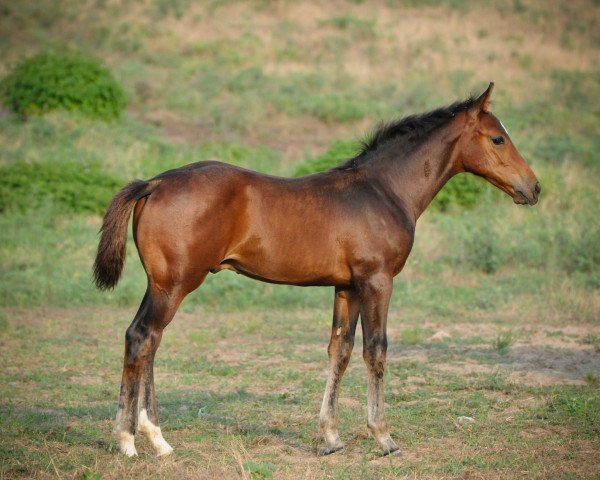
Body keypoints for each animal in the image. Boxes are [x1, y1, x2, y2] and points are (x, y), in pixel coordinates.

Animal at [92, 82, 540, 458]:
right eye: (498, 138)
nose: (533, 188)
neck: (383, 191)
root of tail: (154, 183)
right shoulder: (377, 281)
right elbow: (376, 350)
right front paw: (383, 437)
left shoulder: (347, 287)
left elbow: (339, 350)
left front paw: (330, 438)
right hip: (175, 283)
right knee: (143, 337)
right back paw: (130, 441)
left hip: (160, 283)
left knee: (146, 340)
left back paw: (155, 440)